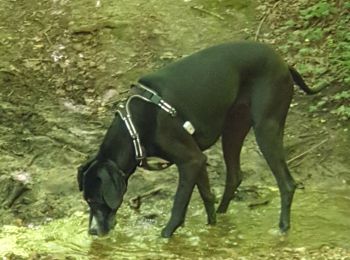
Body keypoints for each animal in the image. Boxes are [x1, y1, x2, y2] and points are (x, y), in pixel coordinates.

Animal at [78, 40, 324, 238]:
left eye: (94, 200)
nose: (93, 232)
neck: (134, 129)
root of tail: (284, 64)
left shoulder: (190, 161)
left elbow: (179, 205)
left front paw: (166, 235)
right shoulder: (198, 160)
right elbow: (207, 195)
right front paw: (212, 226)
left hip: (266, 128)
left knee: (287, 183)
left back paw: (283, 228)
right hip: (233, 130)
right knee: (235, 176)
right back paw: (225, 216)